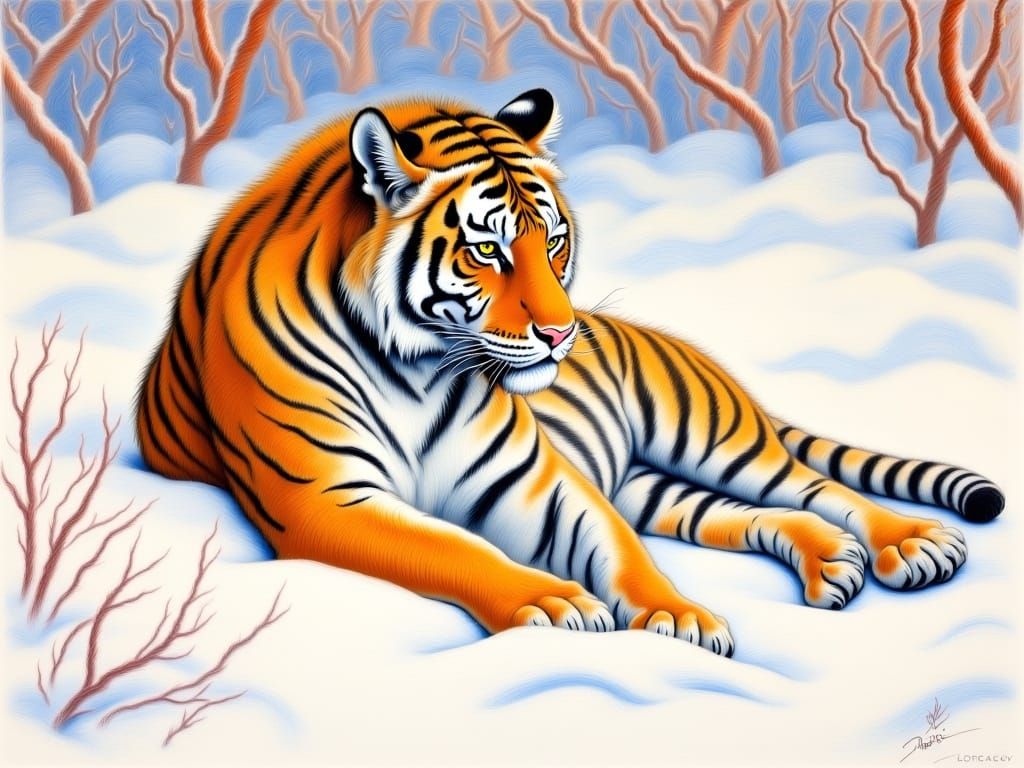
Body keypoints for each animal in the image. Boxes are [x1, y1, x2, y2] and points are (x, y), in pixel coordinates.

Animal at [137, 89, 1005, 657]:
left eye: (552, 240)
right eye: (486, 249)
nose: (562, 334)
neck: (415, 365)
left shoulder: (532, 478)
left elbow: (618, 550)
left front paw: (677, 615)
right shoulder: (323, 499)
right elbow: (455, 549)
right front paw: (551, 600)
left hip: (713, 440)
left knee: (817, 486)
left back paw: (908, 545)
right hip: (657, 486)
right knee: (759, 513)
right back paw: (833, 565)